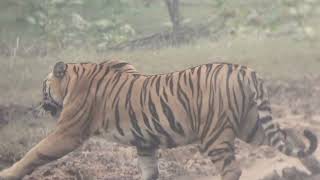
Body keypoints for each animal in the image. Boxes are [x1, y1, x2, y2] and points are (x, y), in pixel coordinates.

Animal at [0, 60, 316, 180]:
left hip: (215, 135)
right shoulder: (145, 141)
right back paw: (311, 167)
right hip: (251, 124)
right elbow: (149, 170)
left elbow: (34, 153)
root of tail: (244, 70)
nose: (39, 104)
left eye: (43, 86)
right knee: (291, 135)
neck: (75, 78)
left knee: (233, 169)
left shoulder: (68, 132)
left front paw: (7, 173)